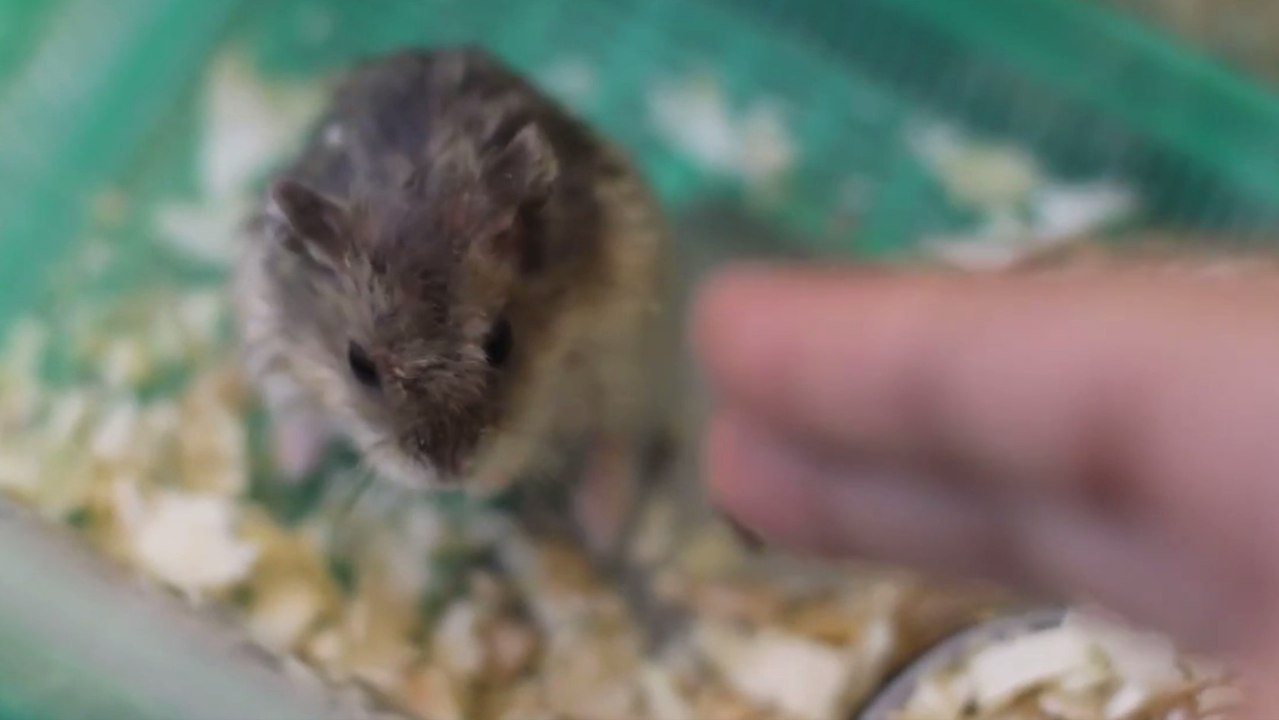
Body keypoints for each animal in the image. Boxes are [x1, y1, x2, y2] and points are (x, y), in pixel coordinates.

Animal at [231, 47, 679, 564]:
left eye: (503, 342)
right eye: (358, 365)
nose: (450, 477)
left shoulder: (592, 341)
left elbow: (544, 423)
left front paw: (488, 486)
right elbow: (300, 410)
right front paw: (291, 465)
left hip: (634, 355)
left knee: (616, 439)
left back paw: (601, 527)